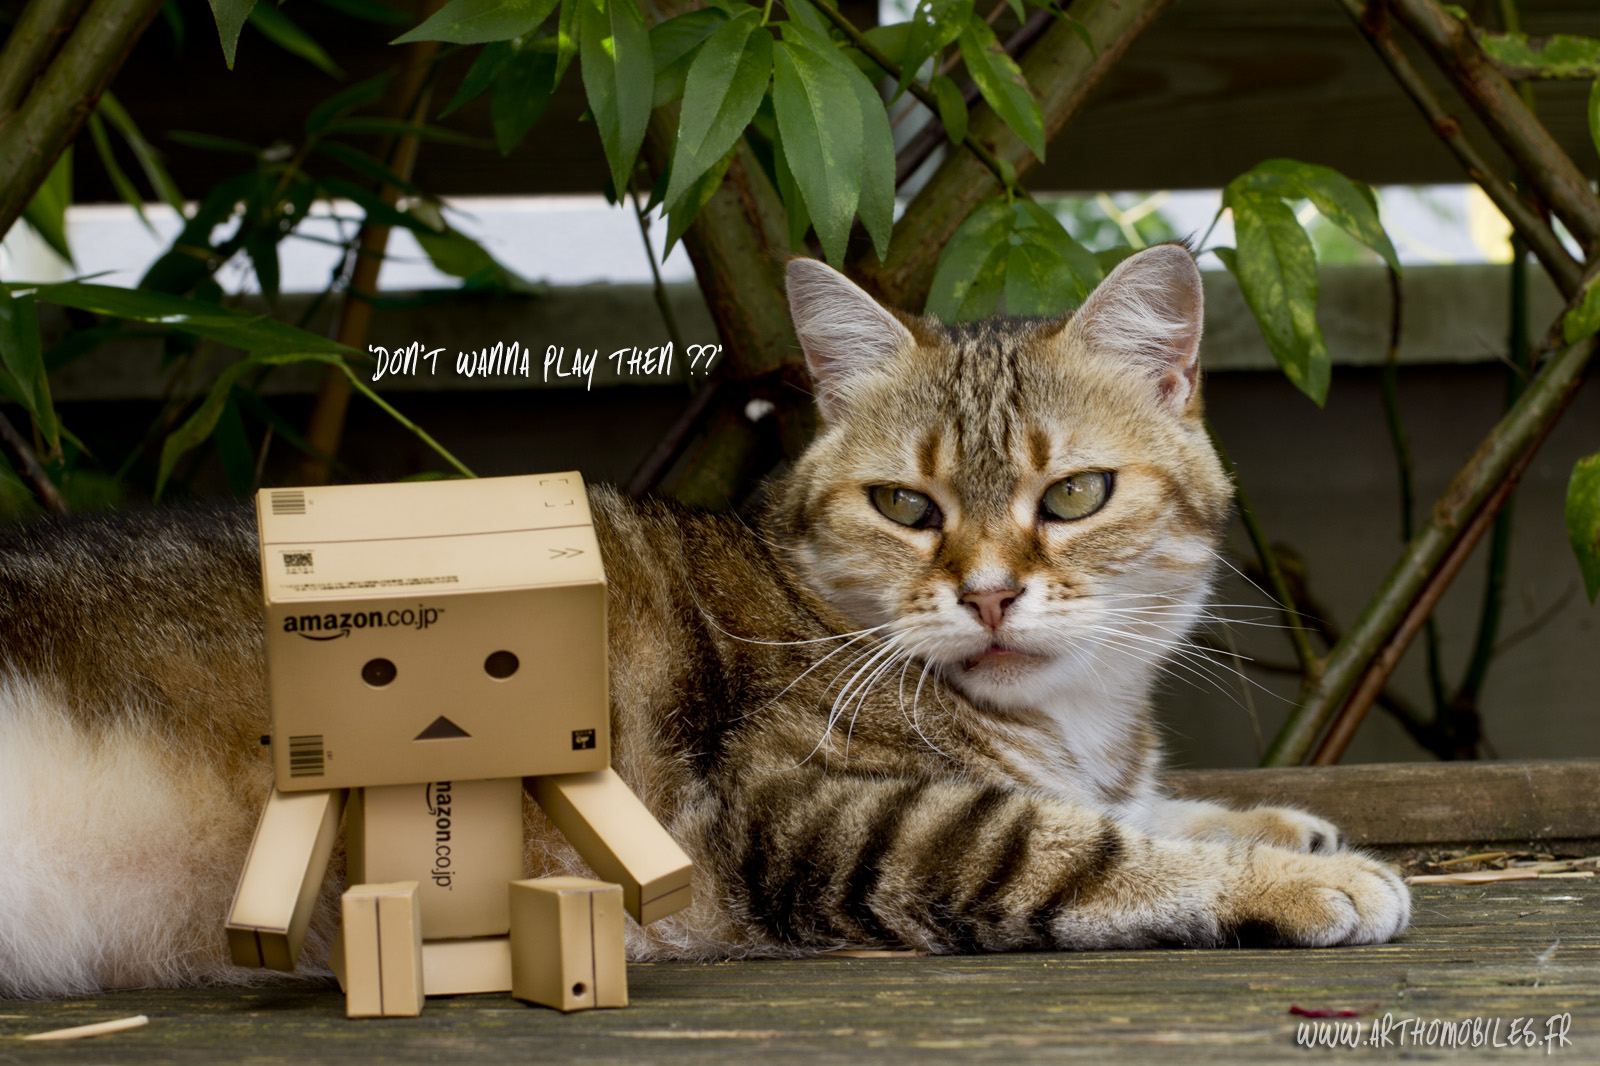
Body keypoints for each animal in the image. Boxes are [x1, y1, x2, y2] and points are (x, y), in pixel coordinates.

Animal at [0, 243, 1401, 998]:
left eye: (1072, 495)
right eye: (905, 505)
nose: (989, 591)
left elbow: (1145, 806)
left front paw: (1277, 819)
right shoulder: (828, 816)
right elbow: (1080, 844)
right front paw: (1301, 874)